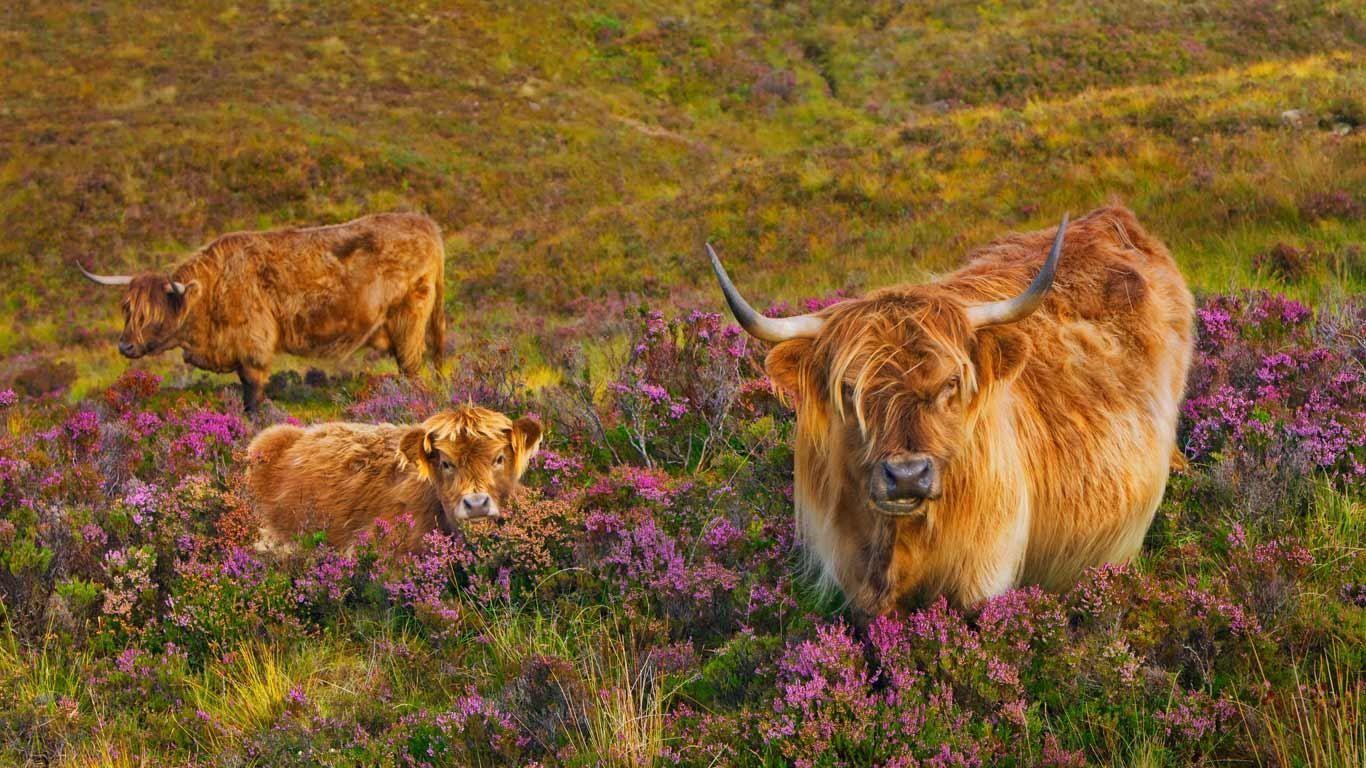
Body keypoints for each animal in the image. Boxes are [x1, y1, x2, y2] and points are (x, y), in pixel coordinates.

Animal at [79, 212, 446, 411]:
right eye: (128, 310)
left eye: (152, 315)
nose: (125, 346)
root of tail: (426, 224)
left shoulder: (252, 344)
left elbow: (252, 392)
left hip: (408, 320)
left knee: (413, 369)